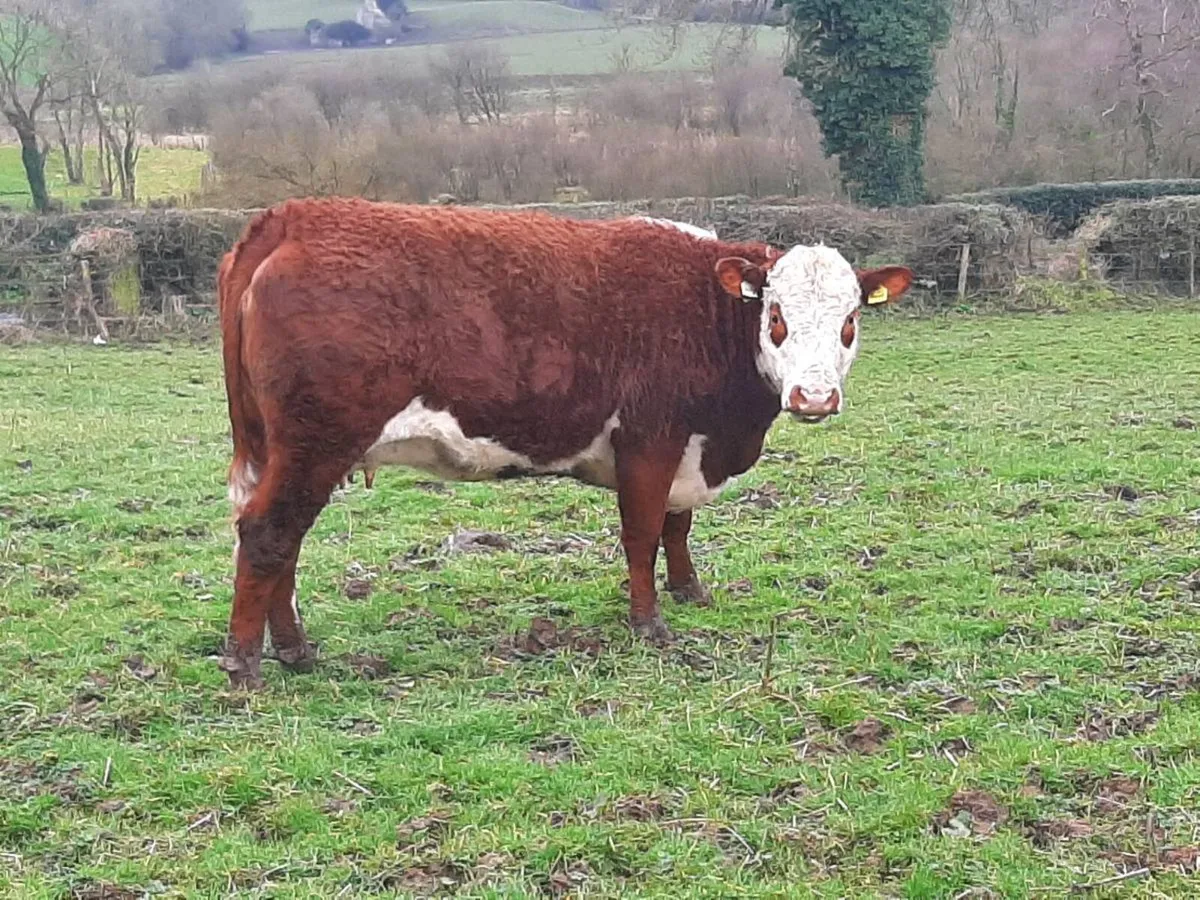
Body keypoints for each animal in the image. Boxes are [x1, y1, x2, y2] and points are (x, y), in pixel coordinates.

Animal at [217, 197, 913, 689]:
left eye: (850, 320)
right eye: (776, 316)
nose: (814, 398)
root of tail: (293, 217)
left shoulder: (688, 447)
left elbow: (678, 526)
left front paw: (689, 591)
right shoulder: (650, 441)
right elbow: (643, 533)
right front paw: (649, 622)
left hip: (284, 449)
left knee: (280, 538)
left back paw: (293, 650)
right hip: (315, 443)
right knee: (269, 533)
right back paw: (250, 666)